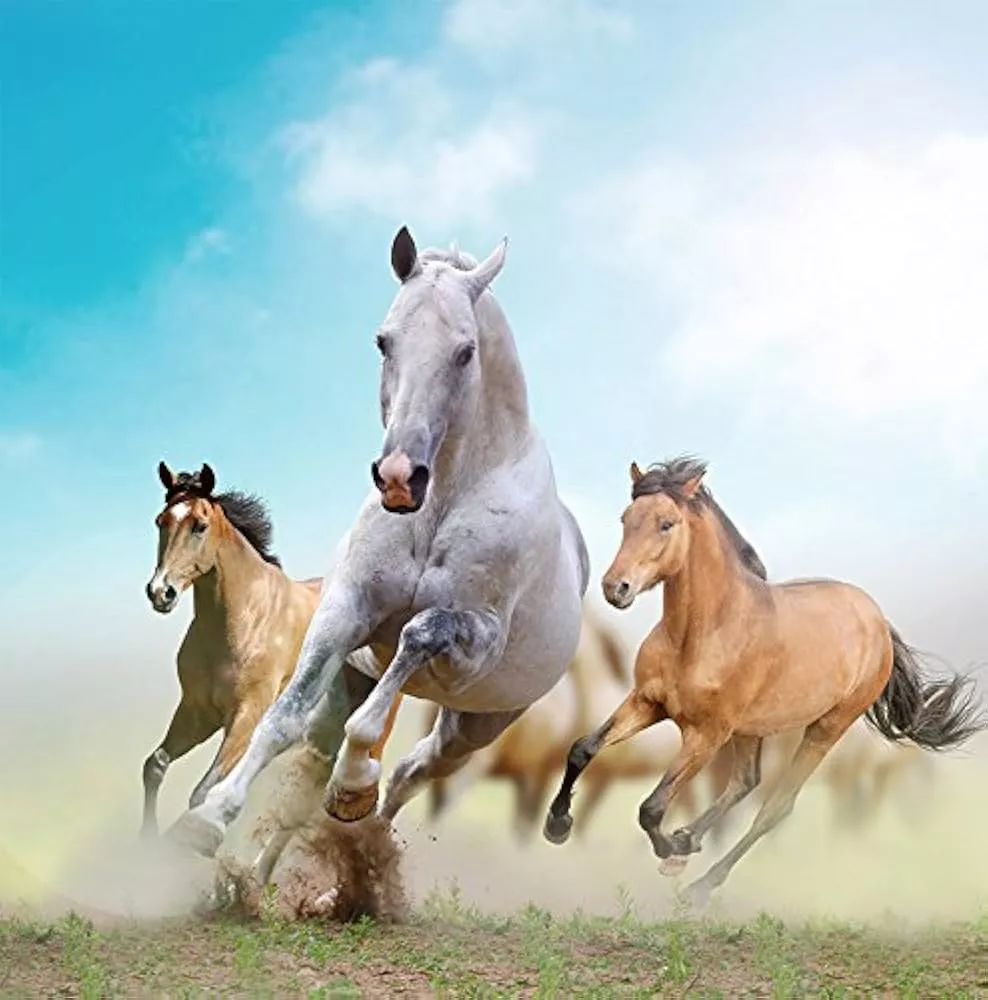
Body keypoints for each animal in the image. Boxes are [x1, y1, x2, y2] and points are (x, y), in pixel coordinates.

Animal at [142, 461, 402, 841]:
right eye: (161, 521)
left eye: (199, 525)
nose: (161, 592)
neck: (246, 620)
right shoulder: (197, 712)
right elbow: (156, 766)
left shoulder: (246, 717)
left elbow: (203, 791)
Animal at [543, 456, 985, 906]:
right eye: (626, 518)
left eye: (666, 523)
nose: (616, 588)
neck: (703, 633)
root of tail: (878, 622)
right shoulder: (647, 703)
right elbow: (582, 749)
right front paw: (558, 826)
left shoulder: (706, 734)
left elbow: (651, 807)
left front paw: (669, 848)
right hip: (752, 729)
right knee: (745, 782)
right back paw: (689, 843)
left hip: (824, 729)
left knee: (775, 805)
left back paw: (699, 884)